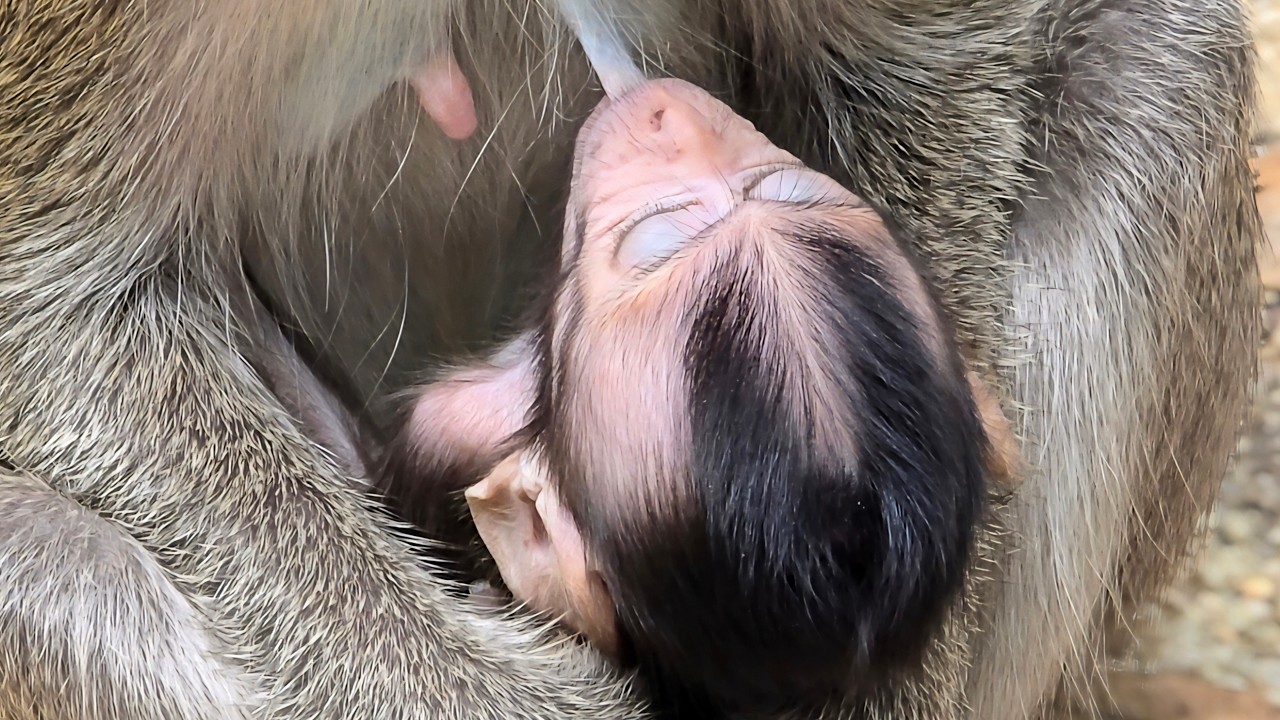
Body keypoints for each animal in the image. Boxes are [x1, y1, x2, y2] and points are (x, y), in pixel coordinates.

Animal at [0, 1, 1260, 719]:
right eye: (650, 236)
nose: (661, 116)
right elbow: (57, 290)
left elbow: (910, 57)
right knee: (52, 556)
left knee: (1149, 54)